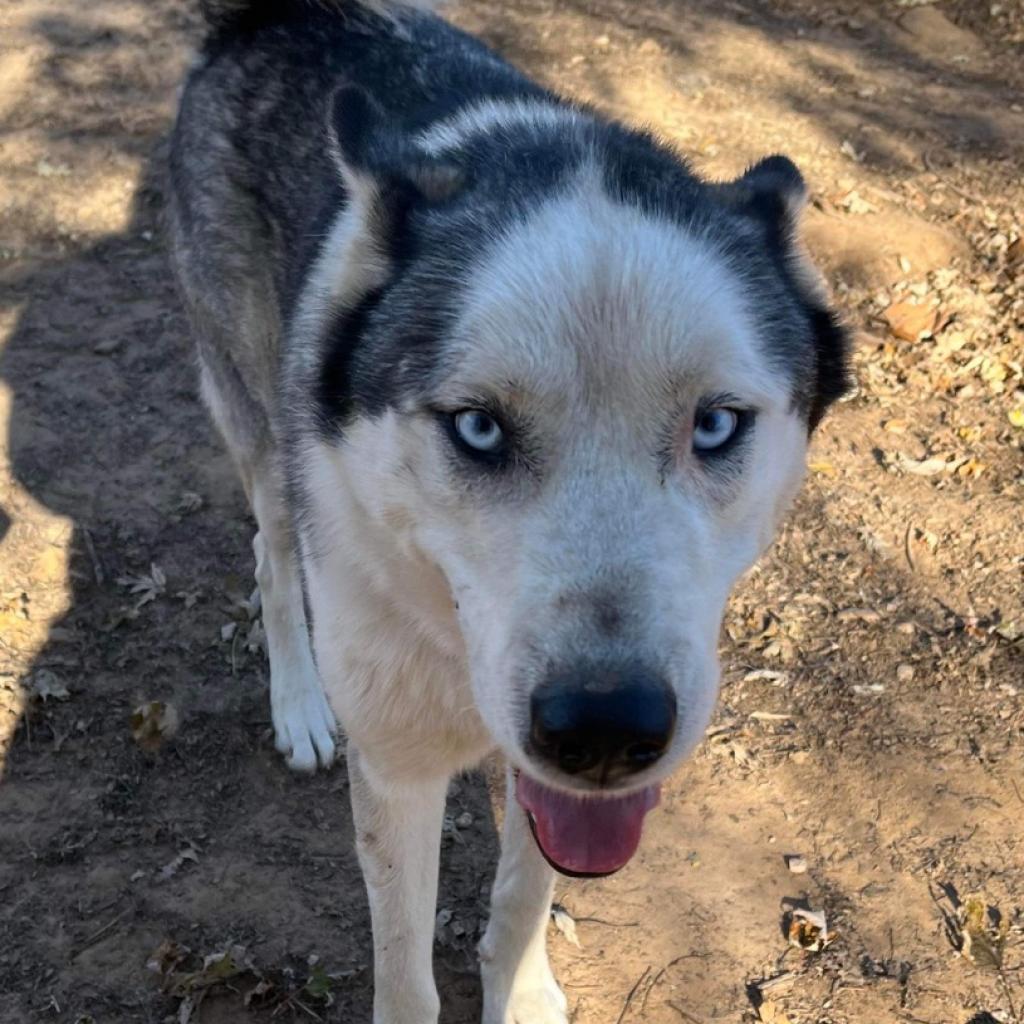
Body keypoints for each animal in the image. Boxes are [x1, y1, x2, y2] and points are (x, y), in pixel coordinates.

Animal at [167, 0, 847, 1019]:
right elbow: (406, 976)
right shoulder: (398, 769)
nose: (605, 729)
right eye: (480, 428)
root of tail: (274, 16)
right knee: (271, 558)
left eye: (716, 424)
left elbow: (524, 897)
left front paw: (521, 988)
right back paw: (300, 706)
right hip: (262, 428)